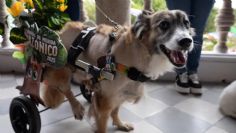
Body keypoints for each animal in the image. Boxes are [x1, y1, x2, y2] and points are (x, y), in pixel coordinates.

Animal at [41, 9, 195, 132]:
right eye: (164, 24)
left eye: (186, 23)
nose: (187, 41)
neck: (138, 53)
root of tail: (61, 30)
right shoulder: (105, 100)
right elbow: (102, 124)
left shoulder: (120, 93)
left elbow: (115, 111)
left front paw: (120, 125)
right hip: (62, 72)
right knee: (65, 90)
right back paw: (77, 108)